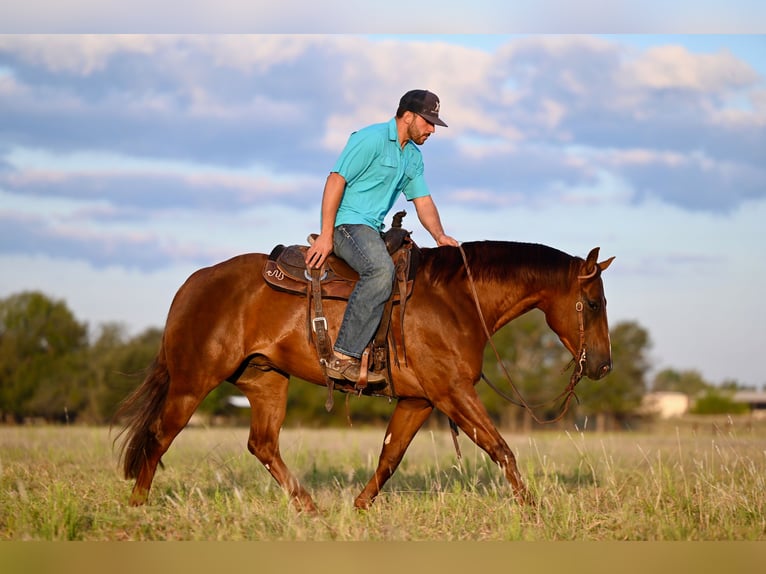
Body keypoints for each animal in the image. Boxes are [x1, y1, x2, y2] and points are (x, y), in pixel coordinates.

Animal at [115, 240, 616, 512]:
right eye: (593, 303)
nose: (603, 366)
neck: (456, 299)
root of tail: (193, 283)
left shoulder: (419, 401)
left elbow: (389, 458)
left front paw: (357, 509)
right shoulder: (452, 393)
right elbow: (502, 450)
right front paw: (535, 512)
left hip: (266, 381)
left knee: (262, 445)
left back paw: (312, 511)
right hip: (192, 382)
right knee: (159, 435)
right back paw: (138, 507)